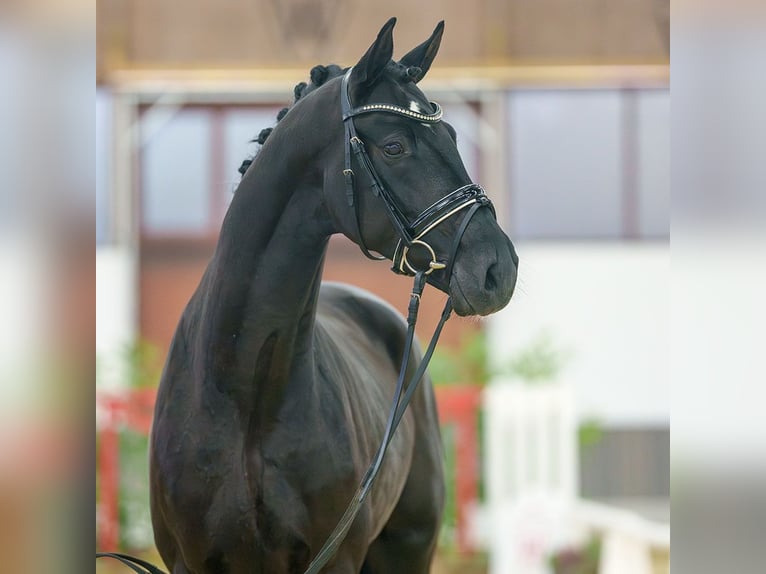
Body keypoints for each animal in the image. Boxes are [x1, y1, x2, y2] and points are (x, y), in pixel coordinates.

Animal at [150, 18, 520, 574]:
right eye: (395, 146)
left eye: (454, 136)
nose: (499, 269)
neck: (242, 388)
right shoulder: (189, 562)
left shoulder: (336, 557)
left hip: (409, 548)